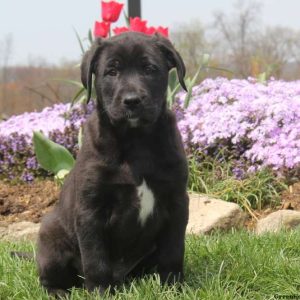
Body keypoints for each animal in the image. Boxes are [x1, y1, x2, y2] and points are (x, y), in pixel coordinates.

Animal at [36, 32, 189, 296]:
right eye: (112, 72)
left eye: (150, 69)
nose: (132, 101)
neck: (136, 141)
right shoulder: (91, 210)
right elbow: (95, 259)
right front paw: (100, 292)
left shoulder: (177, 201)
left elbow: (173, 251)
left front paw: (173, 287)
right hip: (49, 238)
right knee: (49, 277)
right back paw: (58, 292)